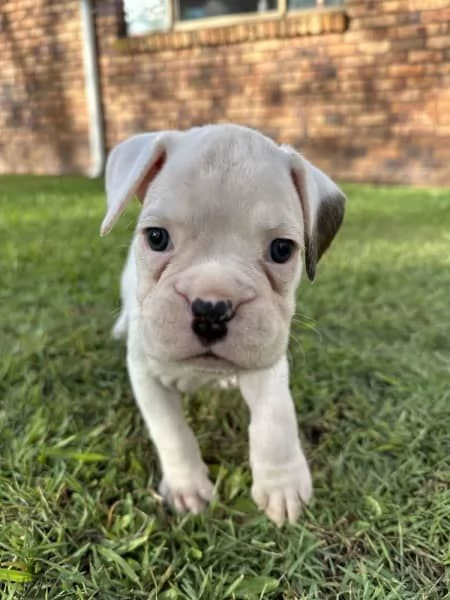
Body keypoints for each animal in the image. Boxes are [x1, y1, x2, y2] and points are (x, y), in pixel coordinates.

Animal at [101, 124, 344, 528]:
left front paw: (281, 484)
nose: (211, 308)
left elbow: (276, 418)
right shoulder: (145, 373)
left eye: (282, 250)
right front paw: (186, 486)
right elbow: (171, 429)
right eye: (156, 238)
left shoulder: (267, 358)